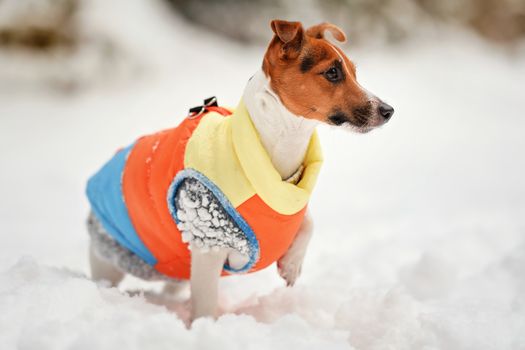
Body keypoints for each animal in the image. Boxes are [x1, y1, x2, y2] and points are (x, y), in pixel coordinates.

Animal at [85, 19, 392, 322]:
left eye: (354, 72)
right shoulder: (208, 242)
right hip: (110, 255)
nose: (389, 110)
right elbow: (206, 303)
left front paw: (292, 264)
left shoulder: (291, 205)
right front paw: (205, 328)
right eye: (332, 72)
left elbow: (308, 222)